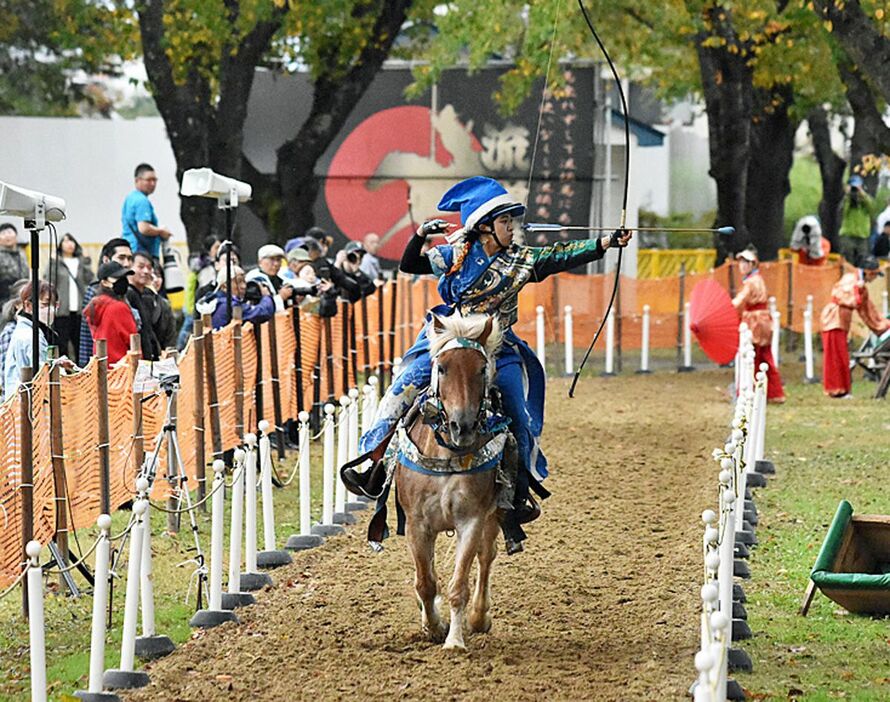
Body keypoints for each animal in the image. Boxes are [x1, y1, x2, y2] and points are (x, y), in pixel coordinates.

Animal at [392, 314, 502, 656]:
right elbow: (426, 583)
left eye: (481, 369)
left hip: (495, 516)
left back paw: (479, 616)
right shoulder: (416, 523)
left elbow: (458, 585)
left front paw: (454, 640)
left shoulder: (472, 520)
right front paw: (433, 626)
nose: (461, 426)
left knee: (486, 557)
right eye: (442, 367)